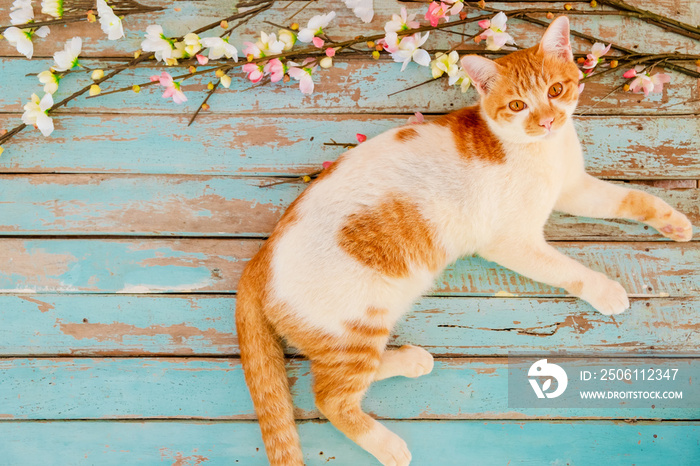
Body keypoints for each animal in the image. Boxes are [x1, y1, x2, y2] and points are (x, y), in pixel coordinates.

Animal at [234, 16, 688, 464]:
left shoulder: (574, 188)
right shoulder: (512, 243)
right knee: (329, 398)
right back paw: (388, 445)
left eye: (555, 91)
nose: (547, 122)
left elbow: (633, 197)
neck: (541, 151)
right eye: (518, 106)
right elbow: (568, 270)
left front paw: (675, 221)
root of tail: (260, 258)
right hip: (356, 326)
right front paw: (604, 289)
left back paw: (409, 360)